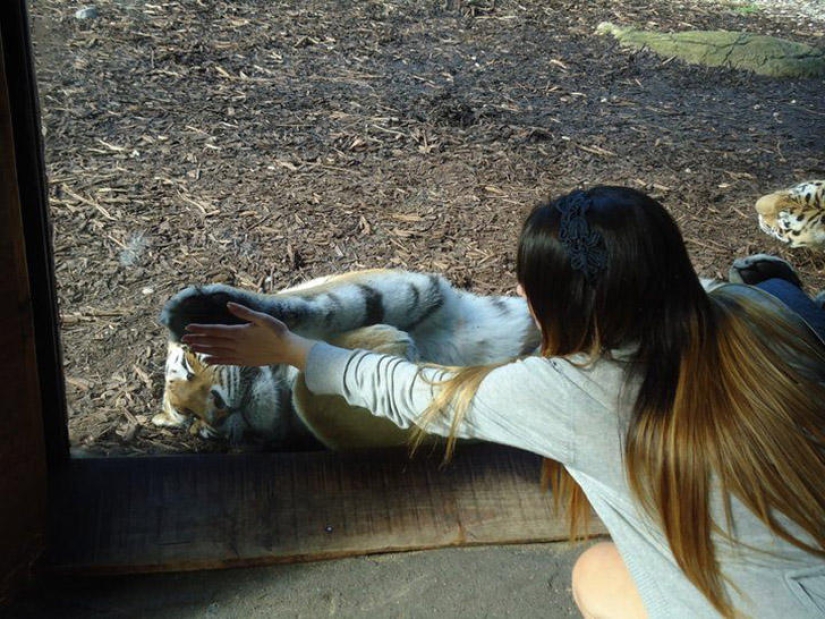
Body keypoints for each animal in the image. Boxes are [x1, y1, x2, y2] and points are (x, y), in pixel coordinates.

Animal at [154, 272, 540, 450]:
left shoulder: (419, 289)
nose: (216, 411)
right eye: (190, 419)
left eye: (189, 366)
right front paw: (394, 343)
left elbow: (319, 305)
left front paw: (197, 310)